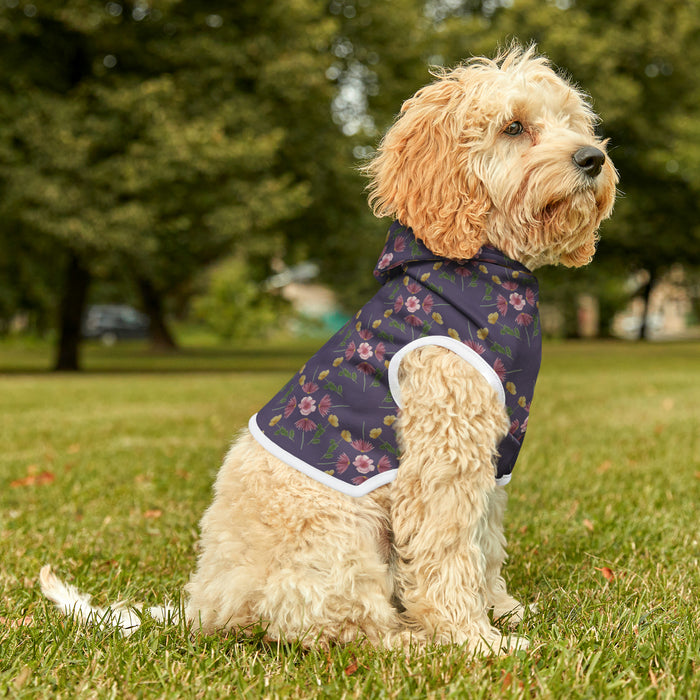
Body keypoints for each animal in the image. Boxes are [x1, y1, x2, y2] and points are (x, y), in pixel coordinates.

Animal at [39, 46, 616, 652]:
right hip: (340, 535)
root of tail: (205, 605)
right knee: (337, 624)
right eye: (514, 127)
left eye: (571, 121)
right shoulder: (442, 455)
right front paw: (474, 640)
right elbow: (449, 552)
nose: (593, 158)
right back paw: (410, 639)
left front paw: (502, 610)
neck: (478, 269)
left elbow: (485, 544)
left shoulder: (491, 459)